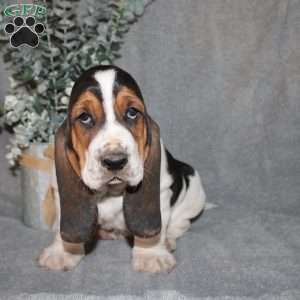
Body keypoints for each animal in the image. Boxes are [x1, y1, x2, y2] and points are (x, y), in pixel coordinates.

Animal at [38, 65, 206, 274]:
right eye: (84, 117)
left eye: (132, 112)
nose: (115, 161)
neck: (111, 192)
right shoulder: (59, 193)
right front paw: (62, 252)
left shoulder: (161, 191)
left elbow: (155, 231)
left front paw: (151, 254)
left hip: (194, 192)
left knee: (181, 222)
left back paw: (167, 240)